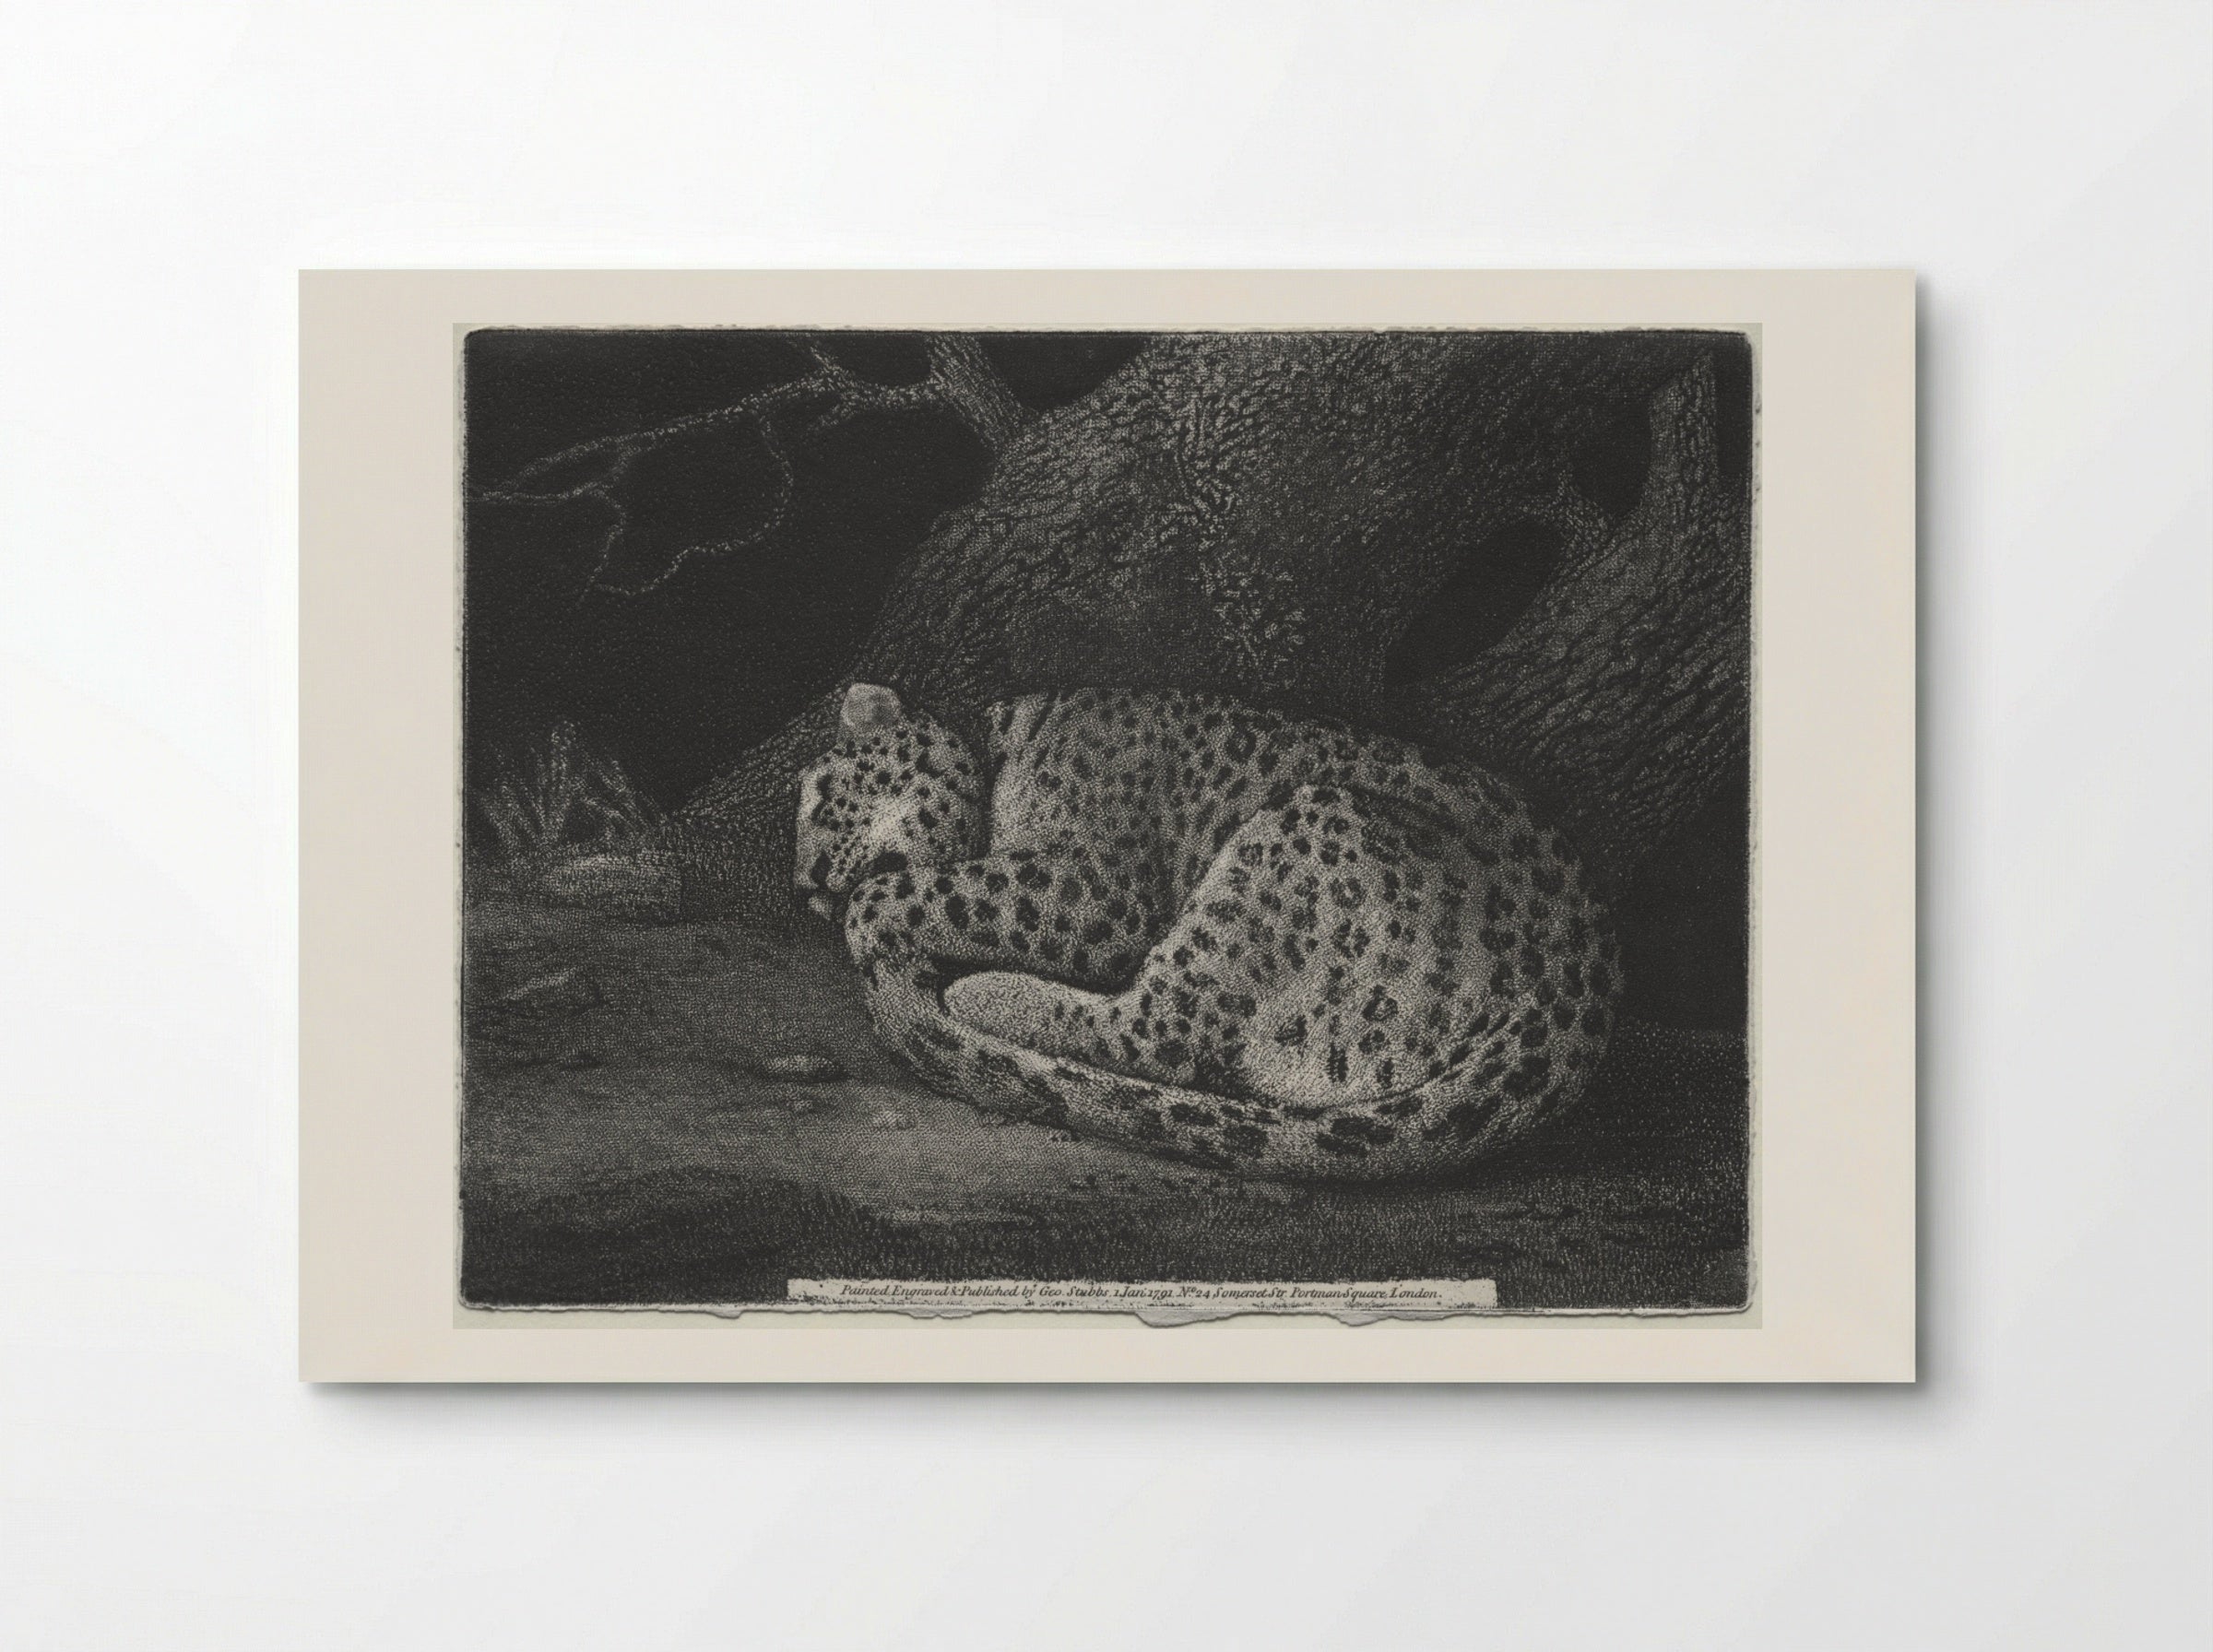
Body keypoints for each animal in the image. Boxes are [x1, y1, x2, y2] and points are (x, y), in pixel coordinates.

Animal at [795, 681, 1621, 1182]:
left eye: (824, 798)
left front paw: (872, 924)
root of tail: (1577, 992)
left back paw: (977, 993)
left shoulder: (1097, 891)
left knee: (1159, 1032)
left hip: (1297, 835)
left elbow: (915, 889)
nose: (804, 890)